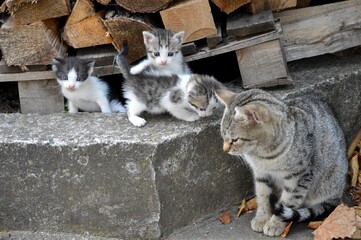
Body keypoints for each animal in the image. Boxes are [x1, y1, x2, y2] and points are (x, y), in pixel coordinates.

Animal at [215, 88, 348, 236]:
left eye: (235, 139)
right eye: (223, 136)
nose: (225, 149)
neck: (262, 155)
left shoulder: (299, 176)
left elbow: (288, 201)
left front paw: (275, 223)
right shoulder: (260, 173)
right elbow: (262, 196)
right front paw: (262, 218)